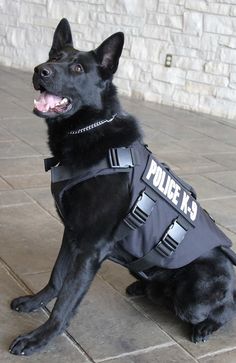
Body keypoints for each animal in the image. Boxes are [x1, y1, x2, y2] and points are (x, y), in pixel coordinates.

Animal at [8, 18, 236, 356]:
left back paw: (205, 326)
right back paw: (144, 286)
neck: (90, 130)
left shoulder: (90, 248)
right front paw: (36, 302)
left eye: (77, 68)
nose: (40, 70)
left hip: (196, 296)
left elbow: (67, 300)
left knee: (224, 310)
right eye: (54, 57)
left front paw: (40, 338)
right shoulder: (72, 235)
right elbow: (56, 277)